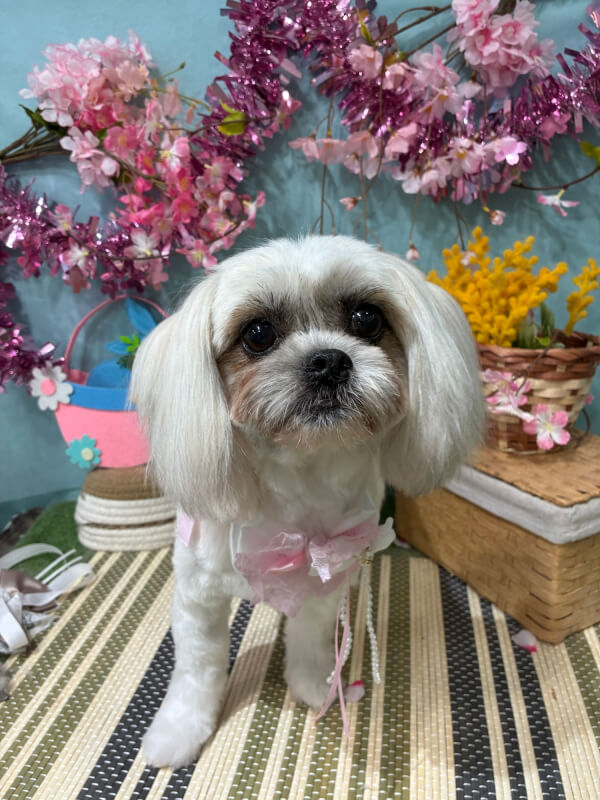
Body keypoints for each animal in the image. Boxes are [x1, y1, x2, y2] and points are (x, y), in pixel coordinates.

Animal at [131, 234, 485, 767]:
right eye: (258, 333)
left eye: (367, 318)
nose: (329, 361)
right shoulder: (197, 595)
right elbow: (198, 668)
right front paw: (179, 731)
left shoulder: (325, 580)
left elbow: (312, 643)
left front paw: (316, 689)